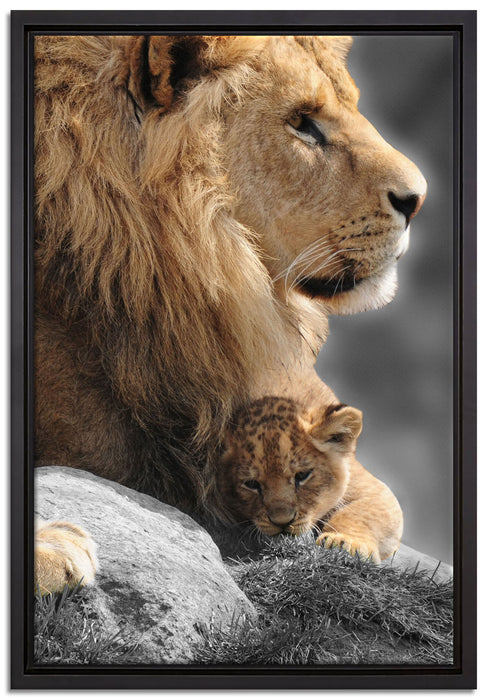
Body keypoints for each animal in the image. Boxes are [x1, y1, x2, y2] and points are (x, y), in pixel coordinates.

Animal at [216, 396, 403, 563]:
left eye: (302, 475)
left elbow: (358, 512)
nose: (282, 522)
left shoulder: (373, 489)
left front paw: (343, 542)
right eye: (252, 484)